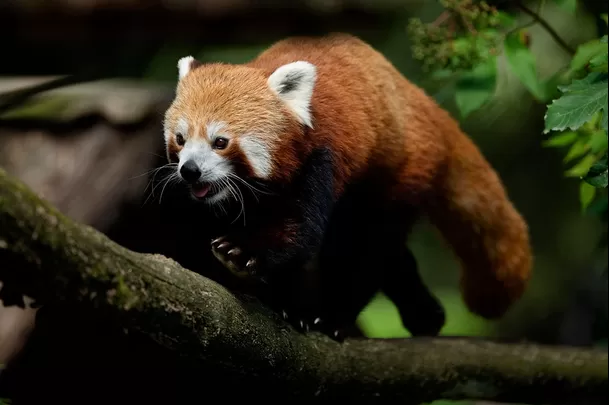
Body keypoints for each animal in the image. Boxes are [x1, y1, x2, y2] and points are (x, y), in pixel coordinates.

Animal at [162, 33, 532, 340]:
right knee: (392, 255)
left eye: (220, 142)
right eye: (180, 139)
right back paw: (425, 315)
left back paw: (336, 317)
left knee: (365, 248)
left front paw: (242, 253)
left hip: (395, 175)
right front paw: (282, 302)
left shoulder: (322, 157)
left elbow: (298, 232)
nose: (190, 171)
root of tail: (421, 102)